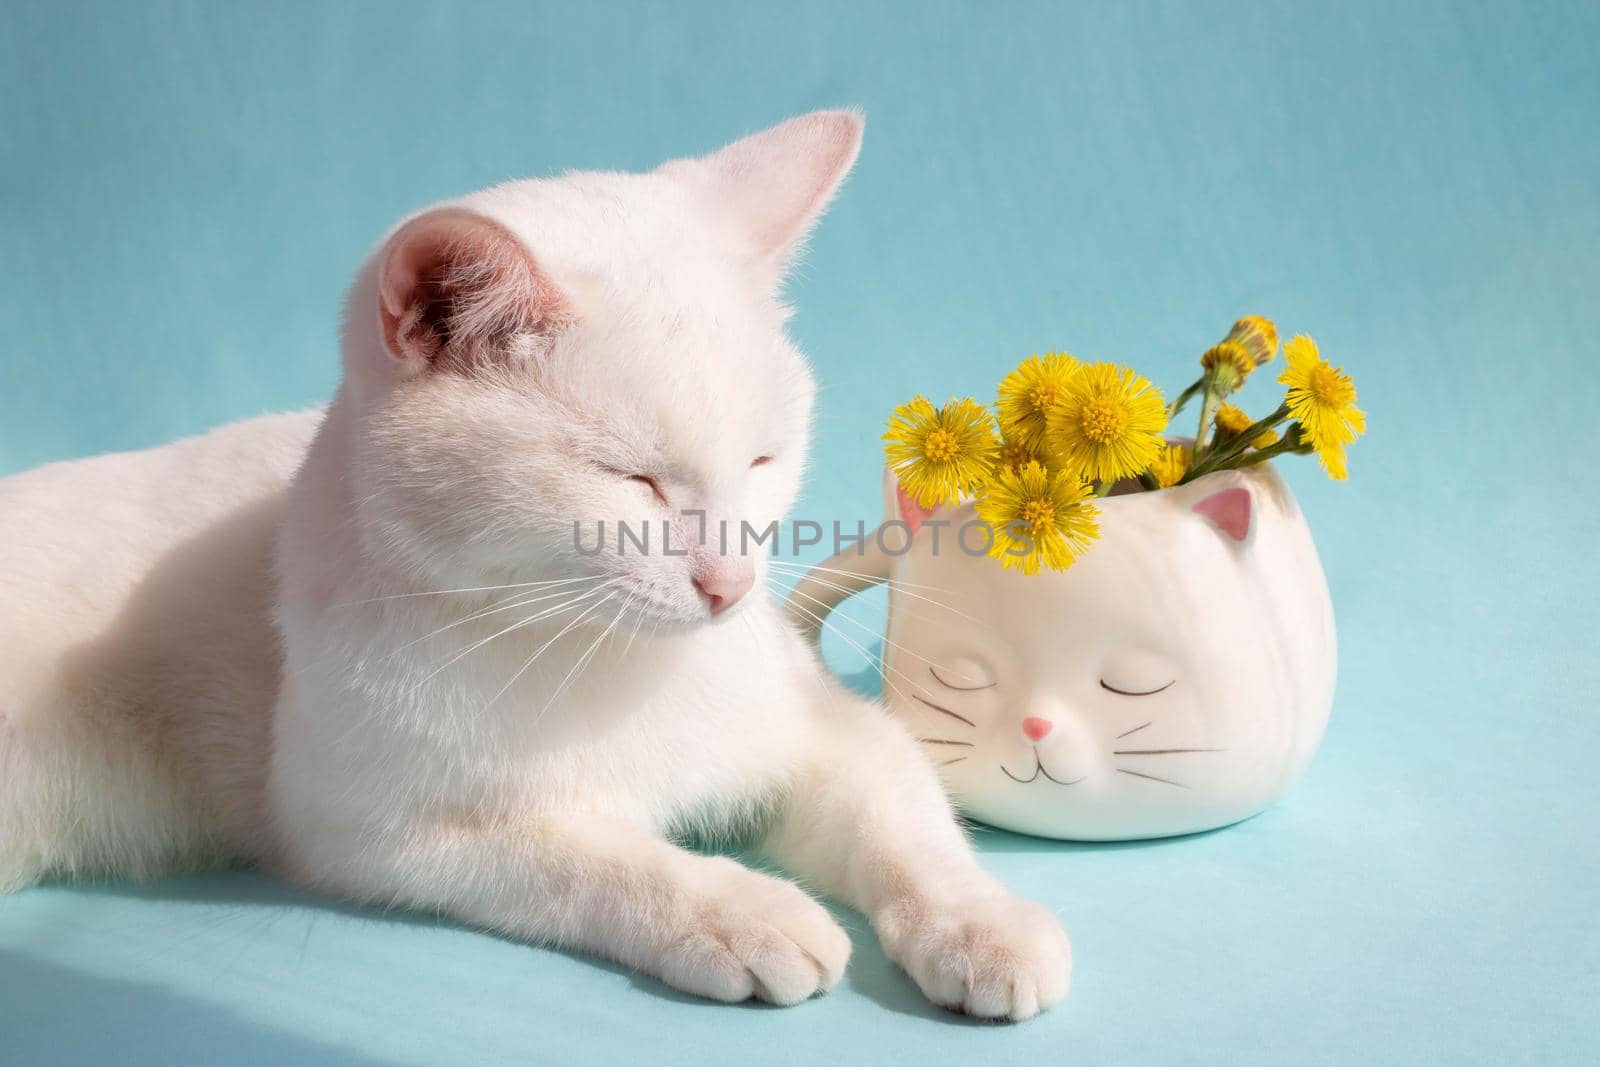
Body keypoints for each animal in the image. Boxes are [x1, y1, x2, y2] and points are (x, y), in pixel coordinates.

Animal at [6, 112, 1075, 1023]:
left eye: (763, 461)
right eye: (632, 480)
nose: (729, 588)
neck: (599, 657)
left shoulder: (829, 735)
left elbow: (906, 821)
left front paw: (980, 923)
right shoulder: (377, 834)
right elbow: (597, 859)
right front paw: (737, 909)